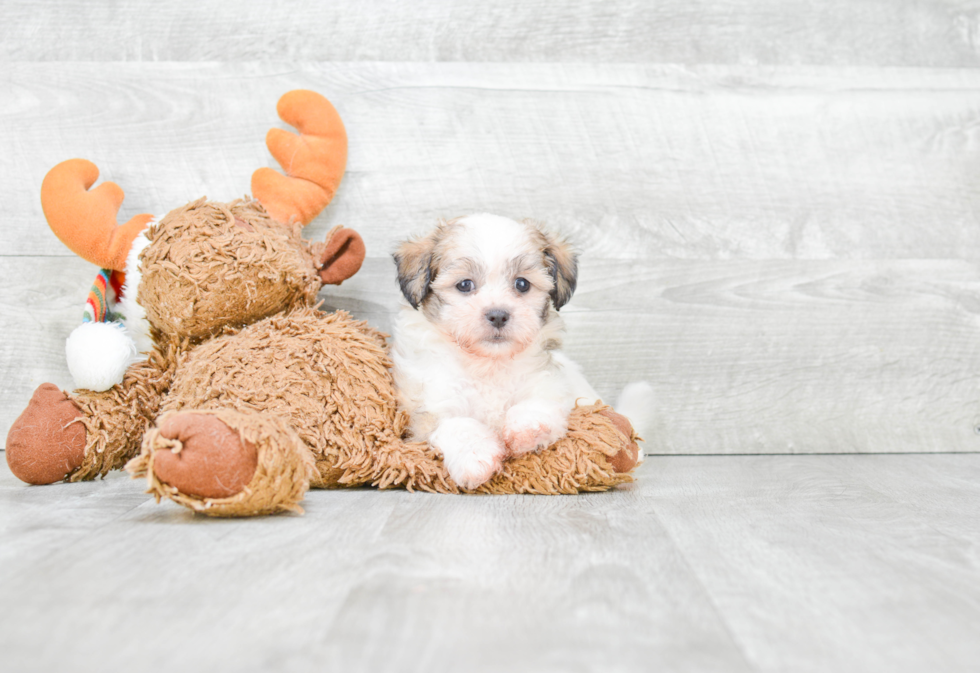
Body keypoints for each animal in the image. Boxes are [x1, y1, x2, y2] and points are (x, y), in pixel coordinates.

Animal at [390, 214, 652, 488]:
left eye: (522, 284)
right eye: (464, 285)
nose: (498, 315)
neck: (488, 363)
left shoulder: (547, 378)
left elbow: (540, 399)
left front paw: (528, 427)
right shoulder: (428, 407)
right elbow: (456, 425)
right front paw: (475, 455)